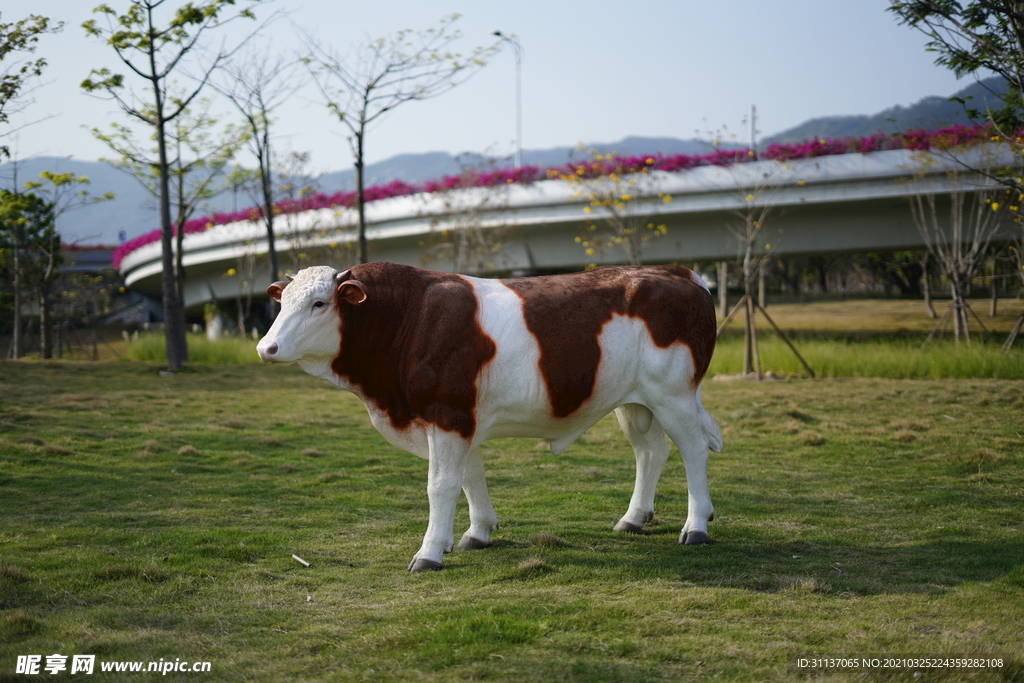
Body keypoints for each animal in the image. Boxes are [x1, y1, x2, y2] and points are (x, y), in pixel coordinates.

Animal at [254, 262, 720, 573]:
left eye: (319, 303)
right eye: (283, 302)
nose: (266, 348)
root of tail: (676, 271)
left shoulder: (447, 412)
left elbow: (441, 485)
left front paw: (429, 552)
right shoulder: (460, 419)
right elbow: (469, 477)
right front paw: (477, 533)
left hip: (674, 393)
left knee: (694, 450)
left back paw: (696, 526)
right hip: (635, 401)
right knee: (650, 452)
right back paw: (633, 518)